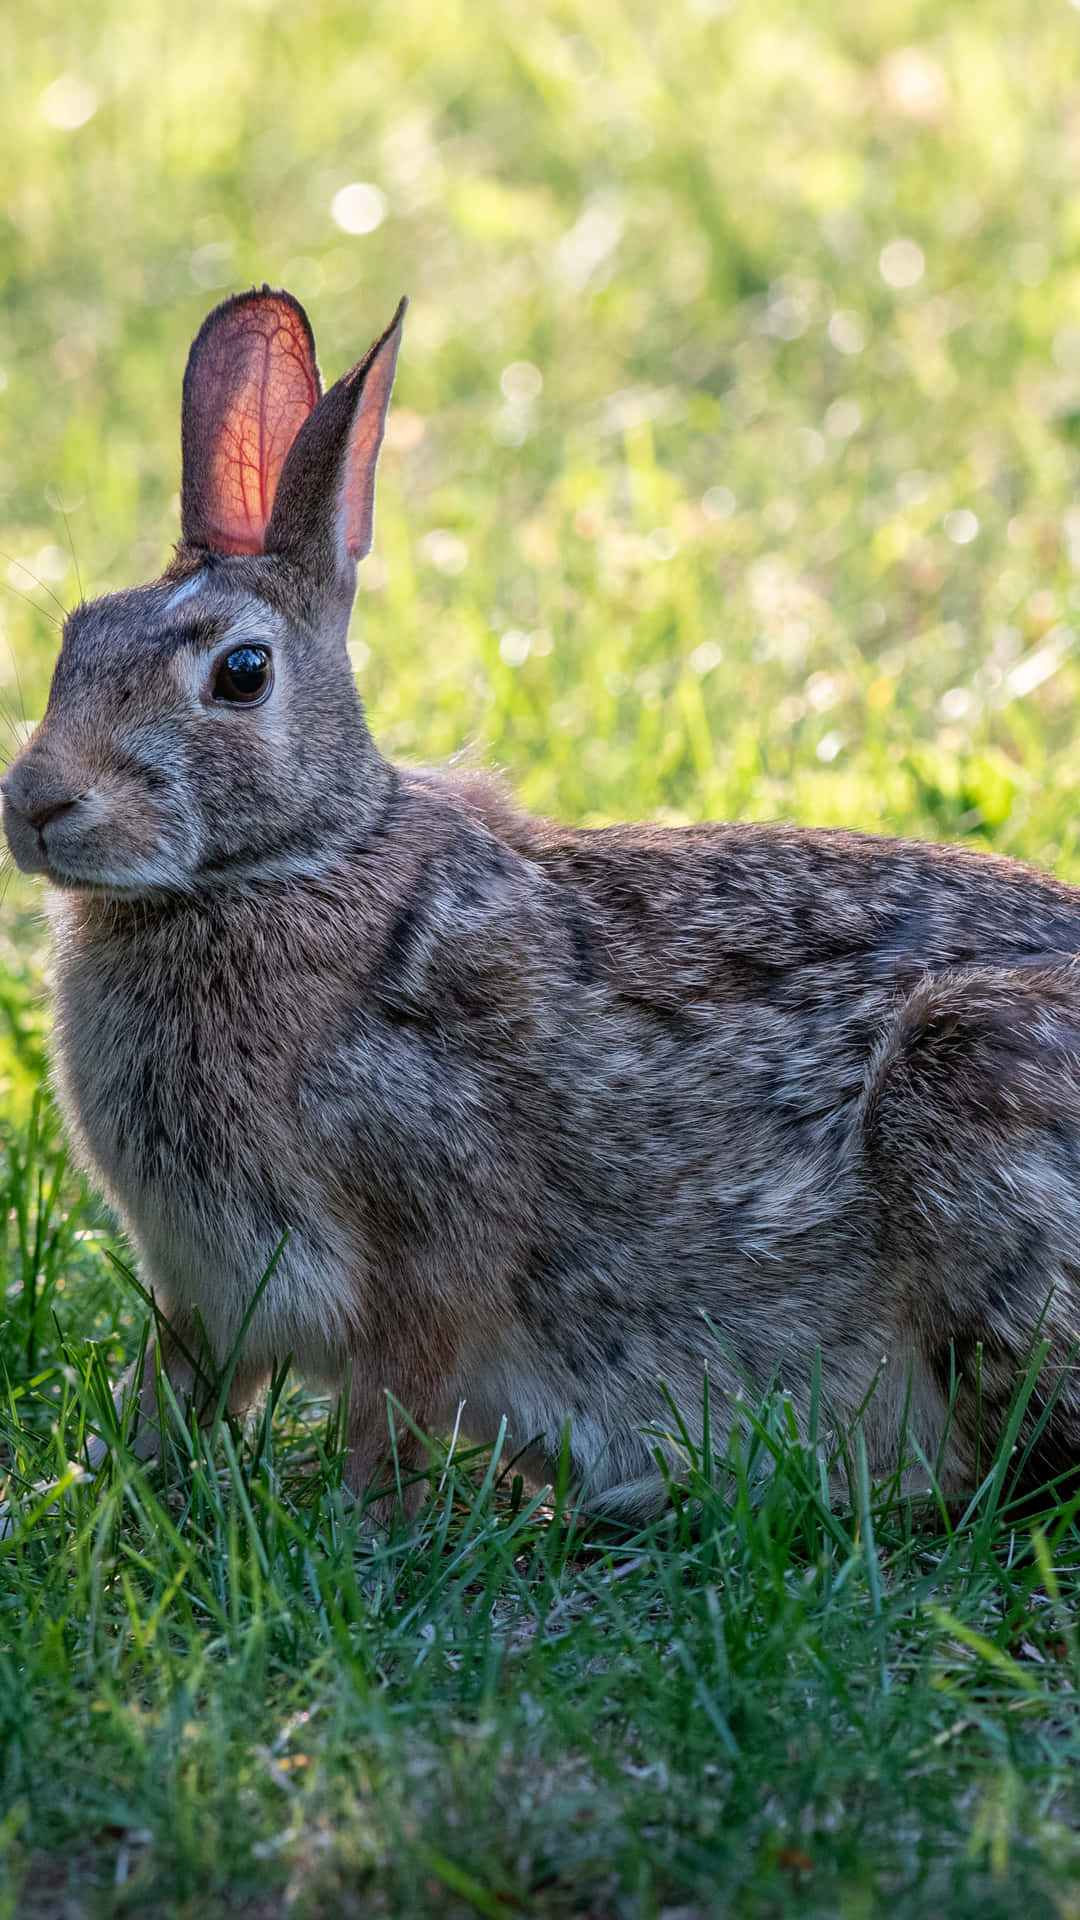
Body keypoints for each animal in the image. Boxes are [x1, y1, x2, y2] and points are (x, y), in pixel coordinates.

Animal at [6, 278, 1076, 1520]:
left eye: (242, 673)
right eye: (77, 635)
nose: (34, 803)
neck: (292, 864)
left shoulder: (433, 1236)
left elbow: (393, 1405)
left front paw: (363, 1526)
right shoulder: (204, 1292)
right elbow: (172, 1391)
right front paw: (97, 1489)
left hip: (971, 1098)